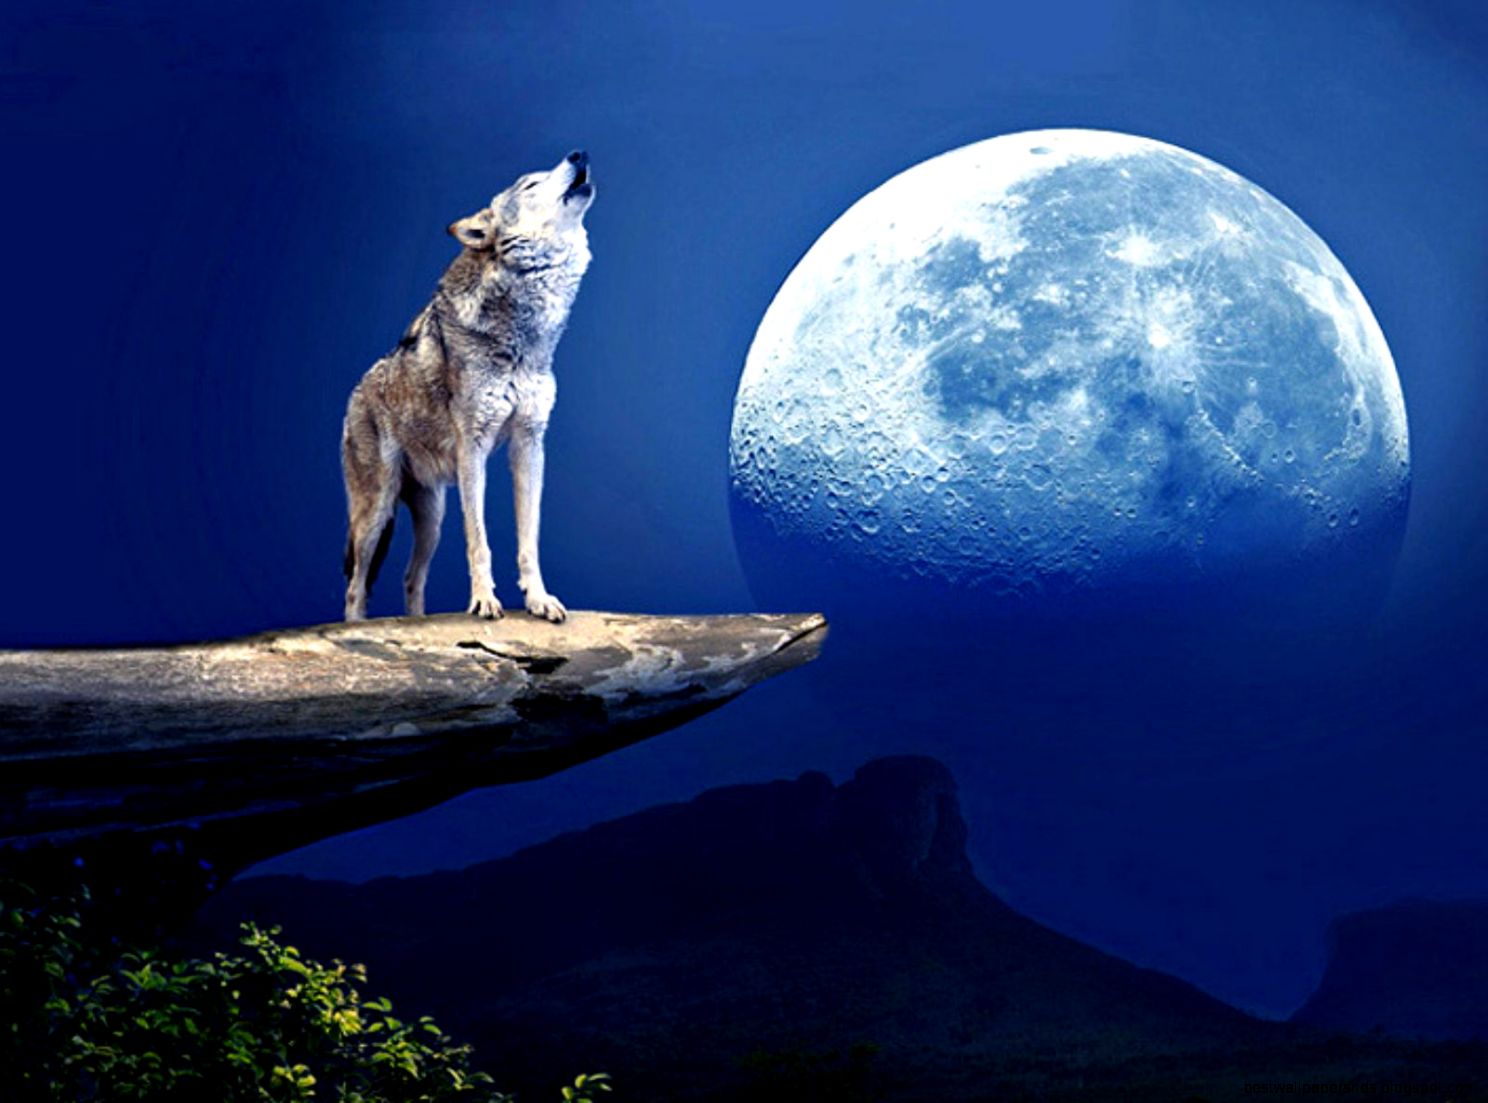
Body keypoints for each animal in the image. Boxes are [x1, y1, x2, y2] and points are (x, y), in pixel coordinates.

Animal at [341, 150, 594, 623]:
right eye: (531, 185)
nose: (579, 154)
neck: (525, 337)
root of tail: (355, 393)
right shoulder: (472, 450)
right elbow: (479, 540)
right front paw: (483, 601)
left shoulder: (529, 444)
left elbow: (528, 539)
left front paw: (538, 599)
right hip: (376, 512)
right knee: (355, 587)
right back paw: (353, 627)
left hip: (433, 516)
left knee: (410, 578)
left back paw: (418, 624)